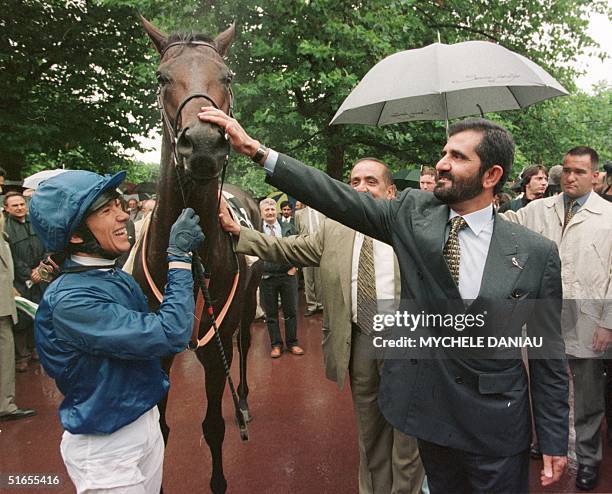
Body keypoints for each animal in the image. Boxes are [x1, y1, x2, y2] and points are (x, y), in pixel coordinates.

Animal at [134, 16, 262, 494]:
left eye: (226, 76)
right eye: (161, 77)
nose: (205, 144)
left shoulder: (213, 342)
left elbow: (213, 426)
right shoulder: (153, 351)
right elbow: (160, 429)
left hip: (246, 303)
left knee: (243, 344)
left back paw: (242, 400)